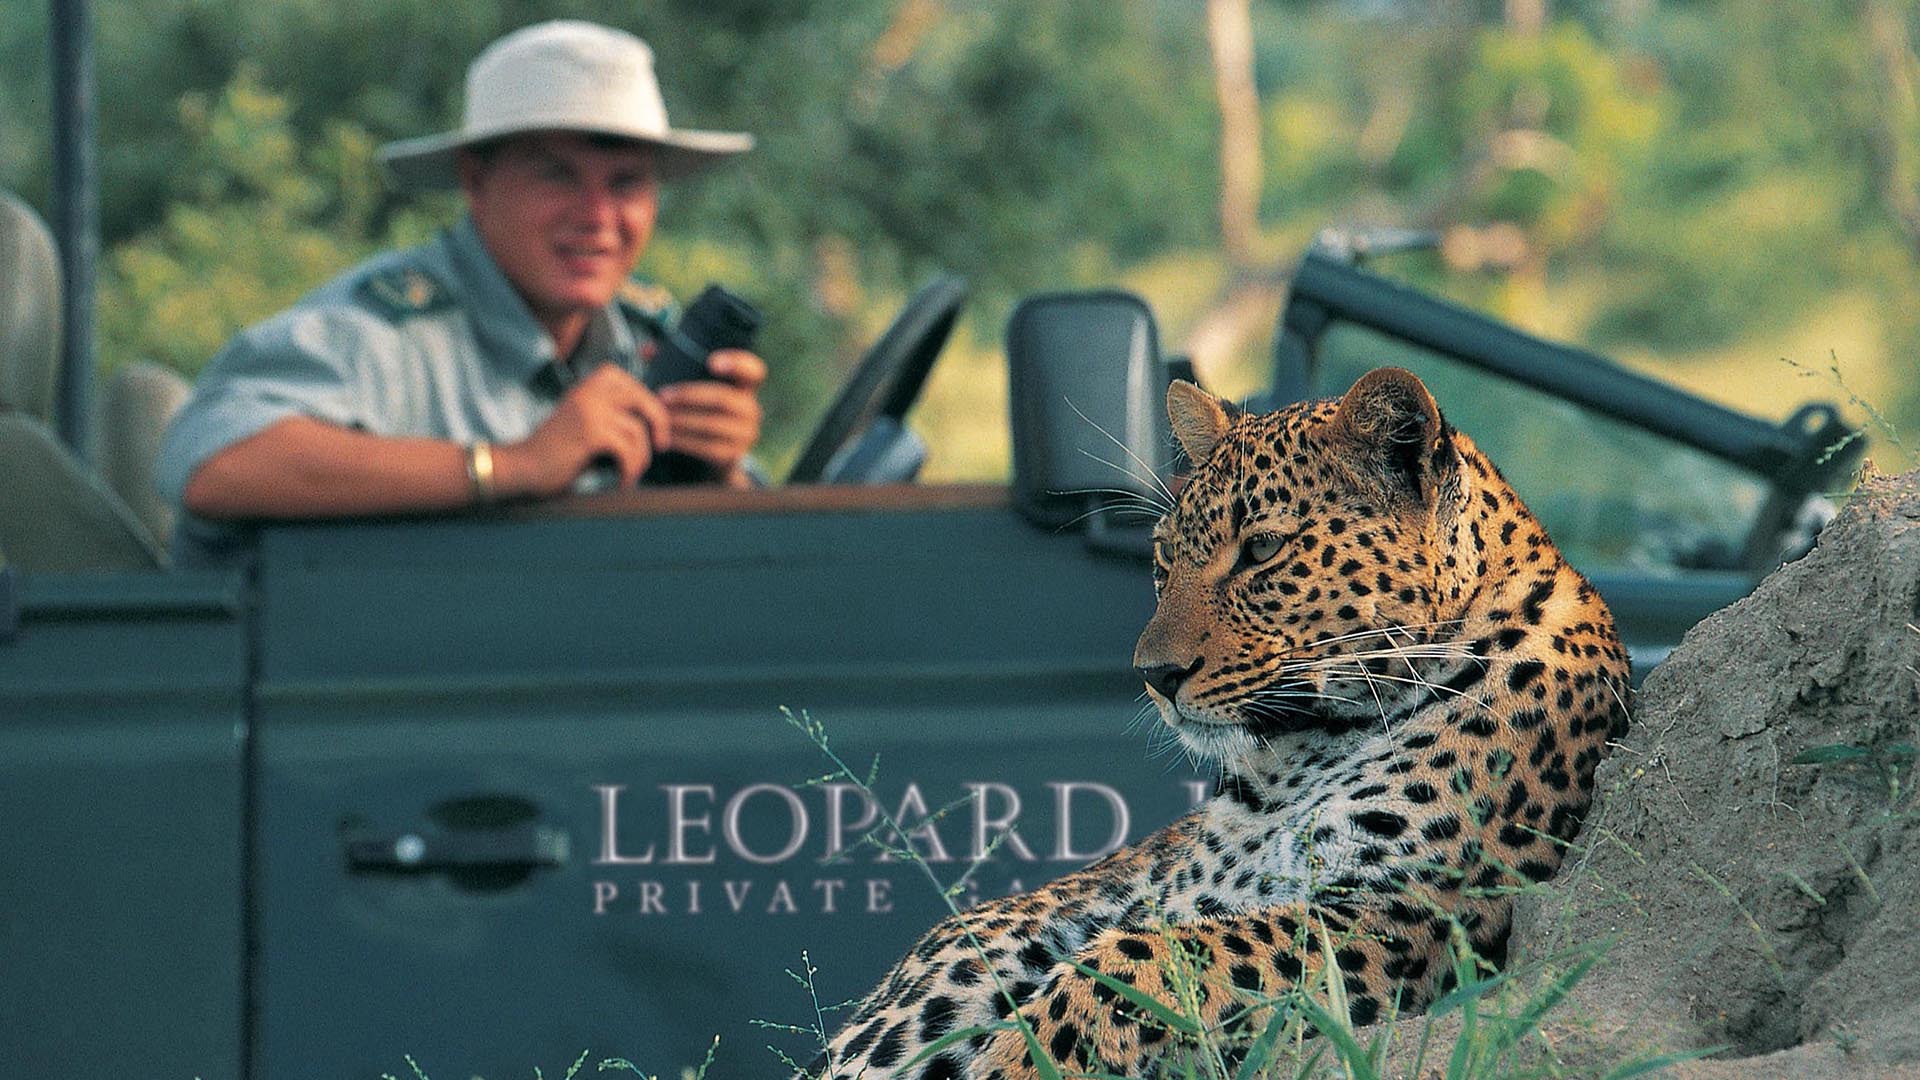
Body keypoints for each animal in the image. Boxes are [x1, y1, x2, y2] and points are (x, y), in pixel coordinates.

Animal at [807, 367, 1629, 1078]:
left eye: (1261, 549)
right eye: (1164, 558)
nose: (1154, 675)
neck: (1296, 755)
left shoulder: (1417, 913)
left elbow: (1145, 960)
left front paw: (1015, 1061)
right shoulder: (1170, 892)